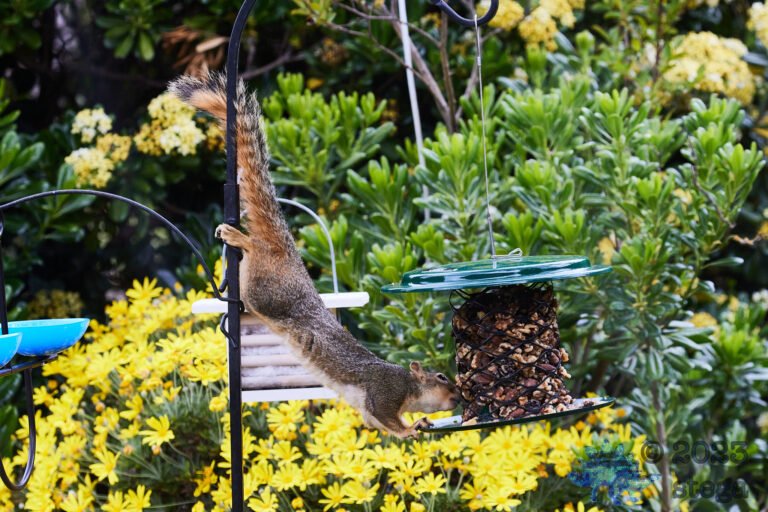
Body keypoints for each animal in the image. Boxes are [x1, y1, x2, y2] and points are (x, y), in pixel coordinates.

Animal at [168, 73, 459, 438]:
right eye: (441, 377)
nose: (459, 395)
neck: (409, 387)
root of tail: (286, 254)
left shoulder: (368, 411)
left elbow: (377, 423)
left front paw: (418, 422)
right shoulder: (385, 392)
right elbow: (388, 417)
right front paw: (411, 429)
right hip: (268, 292)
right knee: (256, 256)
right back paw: (241, 239)